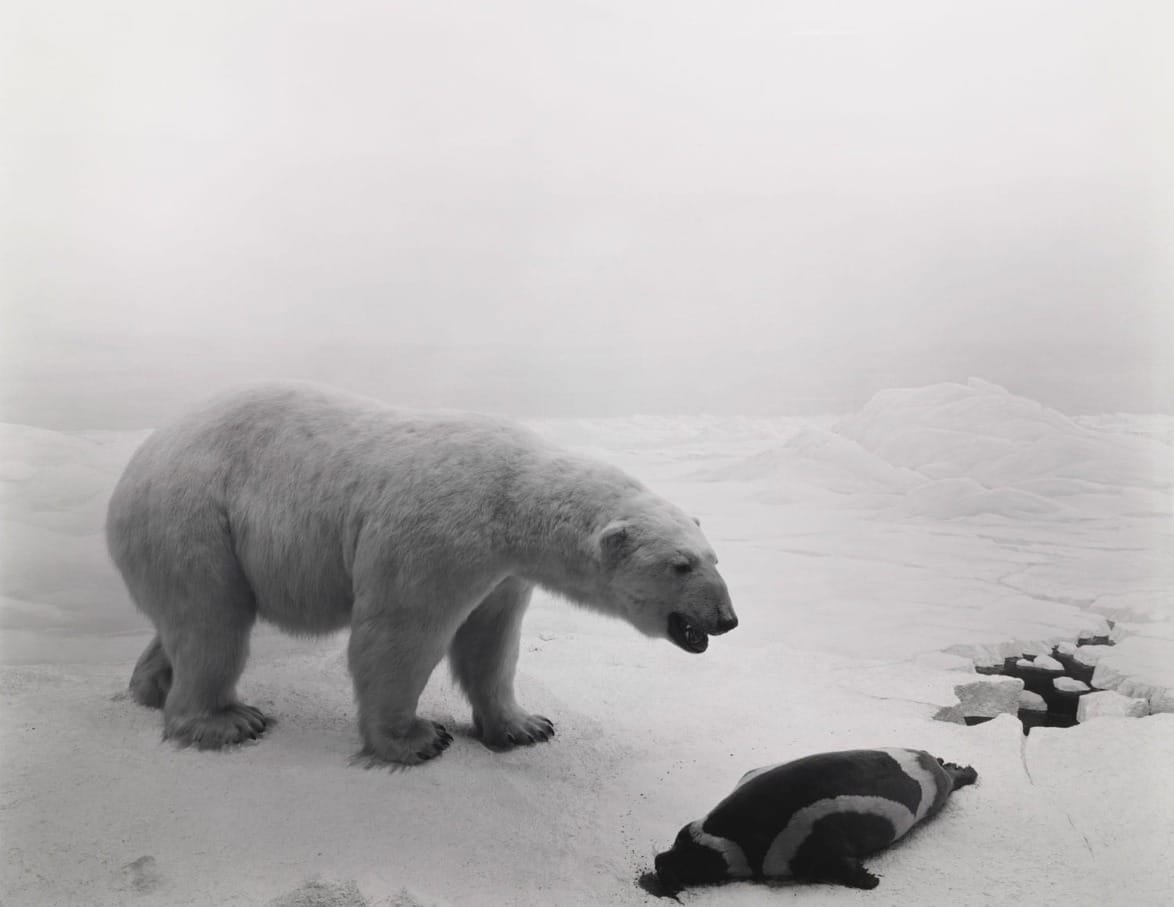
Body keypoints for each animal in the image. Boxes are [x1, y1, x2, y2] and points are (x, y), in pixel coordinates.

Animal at [106, 382, 737, 765]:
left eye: (714, 557)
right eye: (680, 565)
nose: (726, 619)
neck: (514, 499)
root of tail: (135, 463)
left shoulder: (503, 572)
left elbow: (491, 642)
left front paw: (525, 725)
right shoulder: (439, 534)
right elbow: (400, 633)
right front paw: (415, 738)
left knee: (190, 620)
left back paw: (151, 687)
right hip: (194, 517)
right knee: (213, 621)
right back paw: (225, 720)